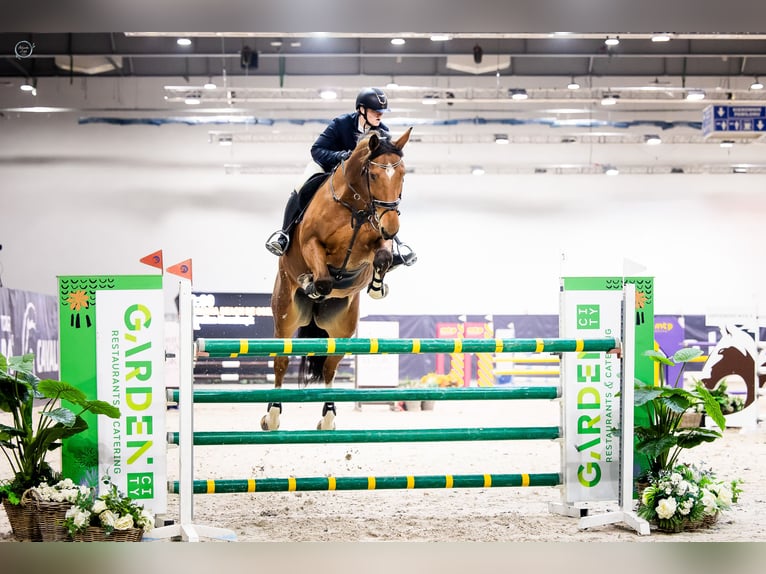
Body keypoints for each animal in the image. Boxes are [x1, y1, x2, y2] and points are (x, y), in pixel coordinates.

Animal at [268, 127, 416, 432]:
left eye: (402, 174)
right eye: (374, 175)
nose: (392, 227)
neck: (356, 207)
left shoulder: (376, 241)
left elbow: (383, 257)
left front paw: (376, 287)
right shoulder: (311, 243)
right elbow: (323, 279)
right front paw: (312, 284)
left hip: (342, 329)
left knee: (329, 367)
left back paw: (328, 417)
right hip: (285, 316)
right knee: (281, 361)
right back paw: (273, 415)